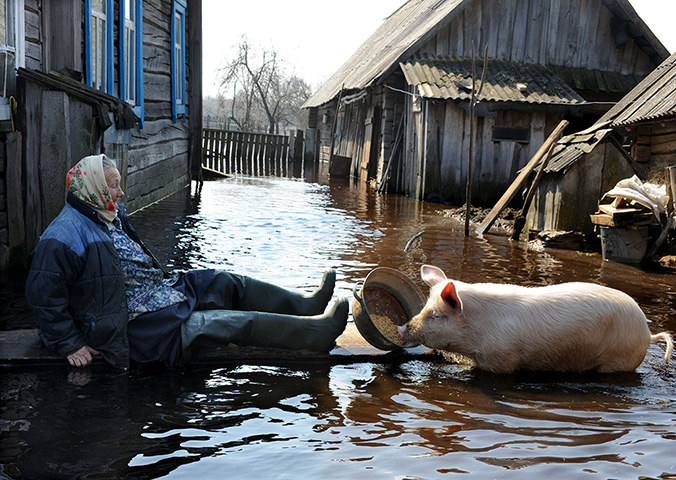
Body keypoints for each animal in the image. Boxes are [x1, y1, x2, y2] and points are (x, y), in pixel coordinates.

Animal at [398, 265, 673, 373]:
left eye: (437, 315)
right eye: (424, 307)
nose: (401, 329)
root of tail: (648, 333)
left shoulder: (501, 360)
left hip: (618, 361)